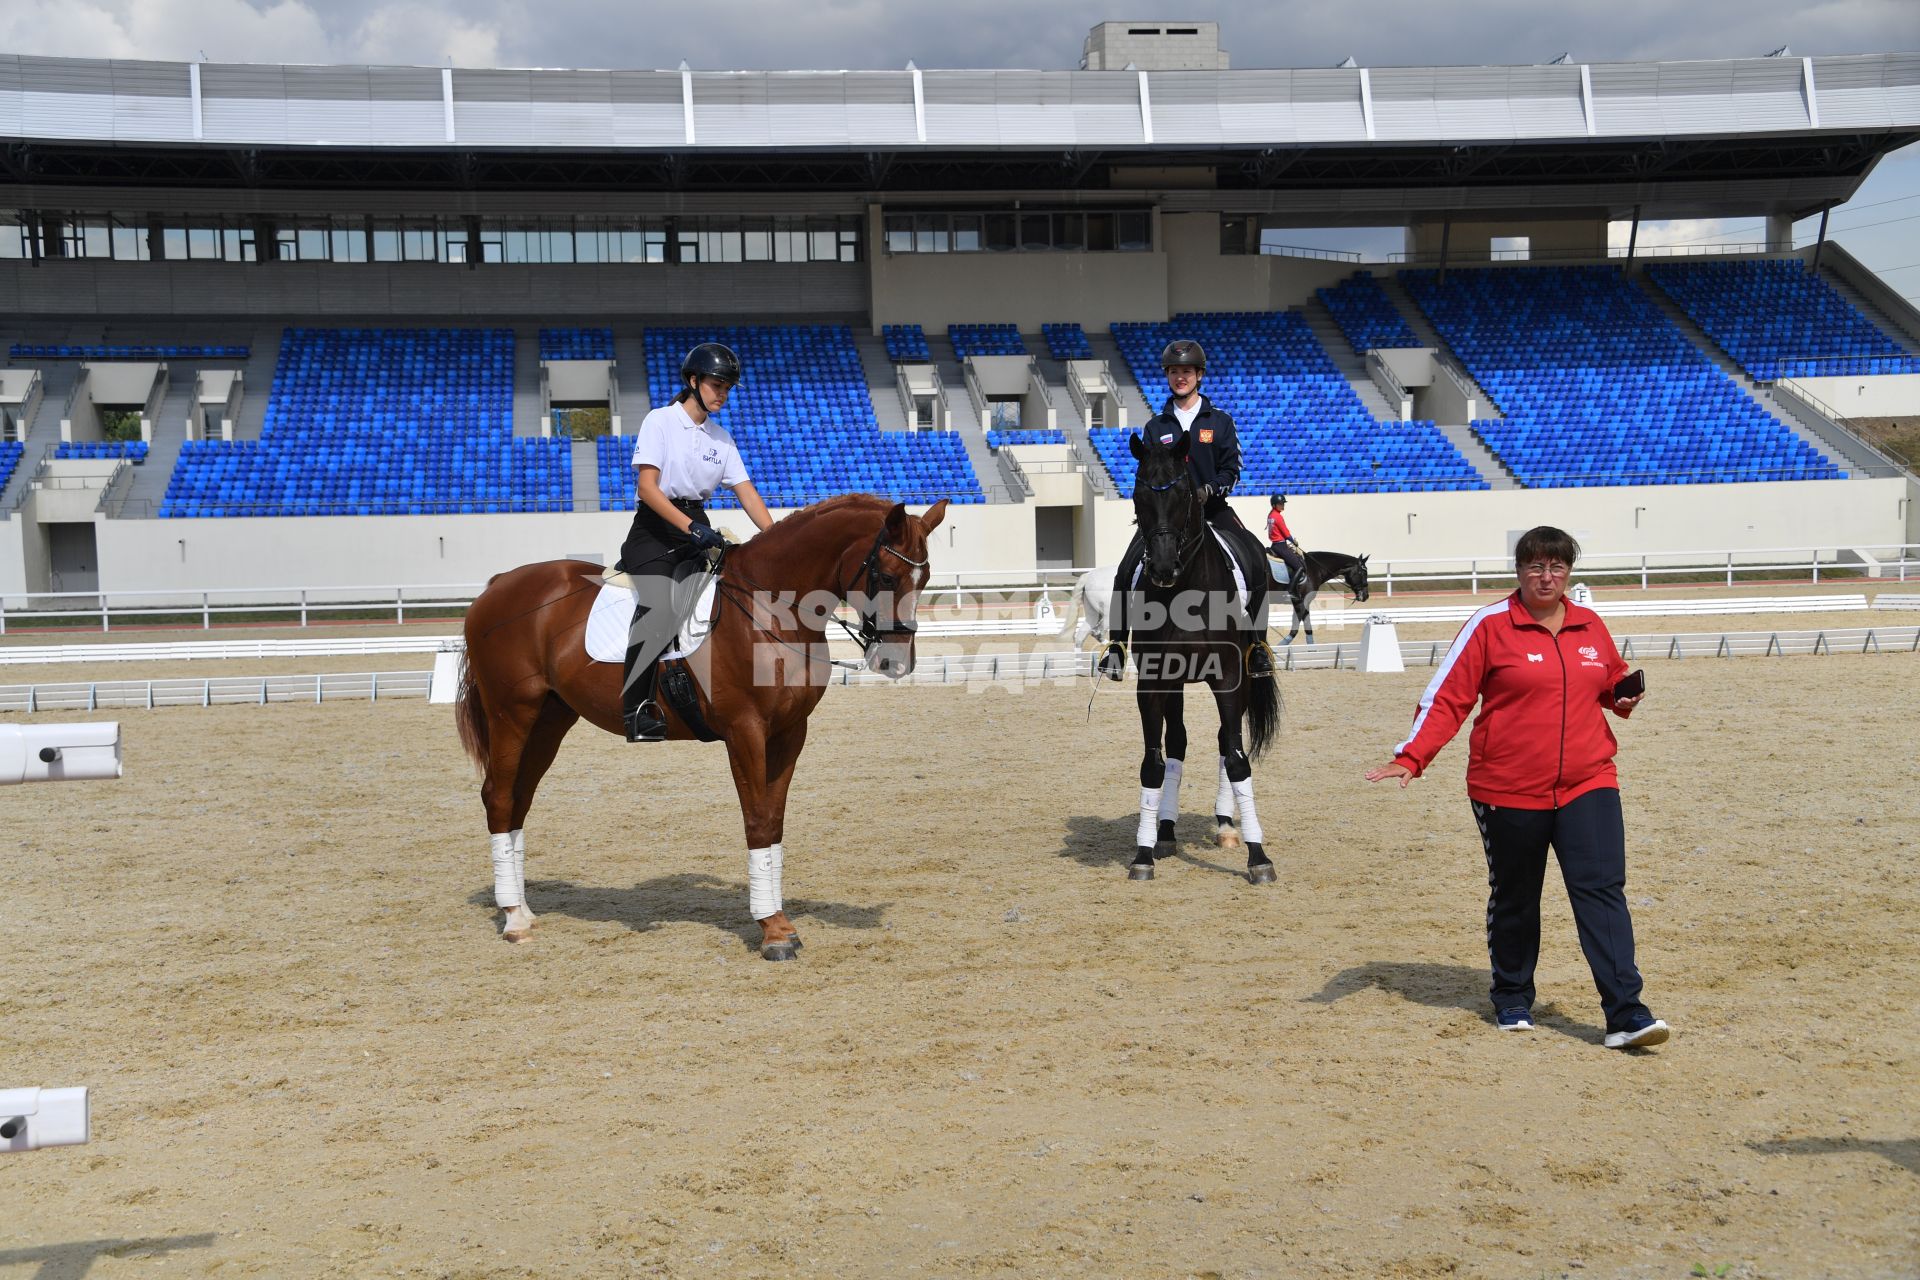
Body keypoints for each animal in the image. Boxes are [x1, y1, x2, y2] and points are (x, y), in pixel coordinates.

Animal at [456, 495, 952, 955]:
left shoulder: (790, 732)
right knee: (499, 797)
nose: (894, 663)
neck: (770, 610)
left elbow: (775, 821)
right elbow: (757, 820)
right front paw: (772, 931)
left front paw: (780, 921)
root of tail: (498, 586)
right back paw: (513, 920)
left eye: (925, 579)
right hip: (512, 713)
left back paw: (523, 910)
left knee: (519, 799)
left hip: (550, 719)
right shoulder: (745, 730)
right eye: (885, 577)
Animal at [1121, 429, 1282, 882]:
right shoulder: (1155, 682)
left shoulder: (1228, 679)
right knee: (1178, 743)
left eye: (1181, 492)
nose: (1162, 568)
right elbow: (1154, 763)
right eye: (1139, 492)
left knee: (1228, 741)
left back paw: (1227, 826)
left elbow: (1237, 759)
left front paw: (1258, 857)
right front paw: (1143, 854)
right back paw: (1166, 831)